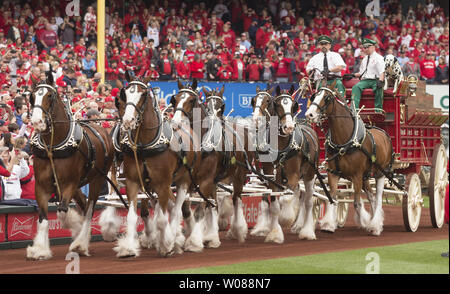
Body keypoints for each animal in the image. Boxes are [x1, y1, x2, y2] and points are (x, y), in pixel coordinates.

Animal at [25, 74, 116, 258]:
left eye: (49, 96)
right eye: (32, 96)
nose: (37, 122)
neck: (53, 147)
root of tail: (102, 130)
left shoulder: (69, 183)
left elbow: (62, 210)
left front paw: (76, 231)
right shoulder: (42, 186)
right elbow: (43, 217)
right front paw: (40, 250)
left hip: (96, 179)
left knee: (89, 208)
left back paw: (81, 243)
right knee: (83, 203)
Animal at [250, 86, 320, 242]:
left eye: (293, 105)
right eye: (277, 104)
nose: (288, 127)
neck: (281, 147)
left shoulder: (293, 175)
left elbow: (286, 199)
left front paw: (286, 218)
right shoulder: (270, 178)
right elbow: (274, 204)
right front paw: (274, 233)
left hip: (310, 175)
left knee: (308, 201)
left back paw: (306, 230)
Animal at [304, 81, 392, 235]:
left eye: (327, 98)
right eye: (314, 95)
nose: (309, 114)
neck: (344, 142)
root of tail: (383, 133)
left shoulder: (356, 175)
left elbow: (357, 203)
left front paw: (365, 222)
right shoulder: (333, 173)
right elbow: (332, 198)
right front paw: (328, 224)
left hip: (381, 173)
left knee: (379, 197)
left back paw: (375, 225)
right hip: (365, 176)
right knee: (372, 197)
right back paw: (375, 221)